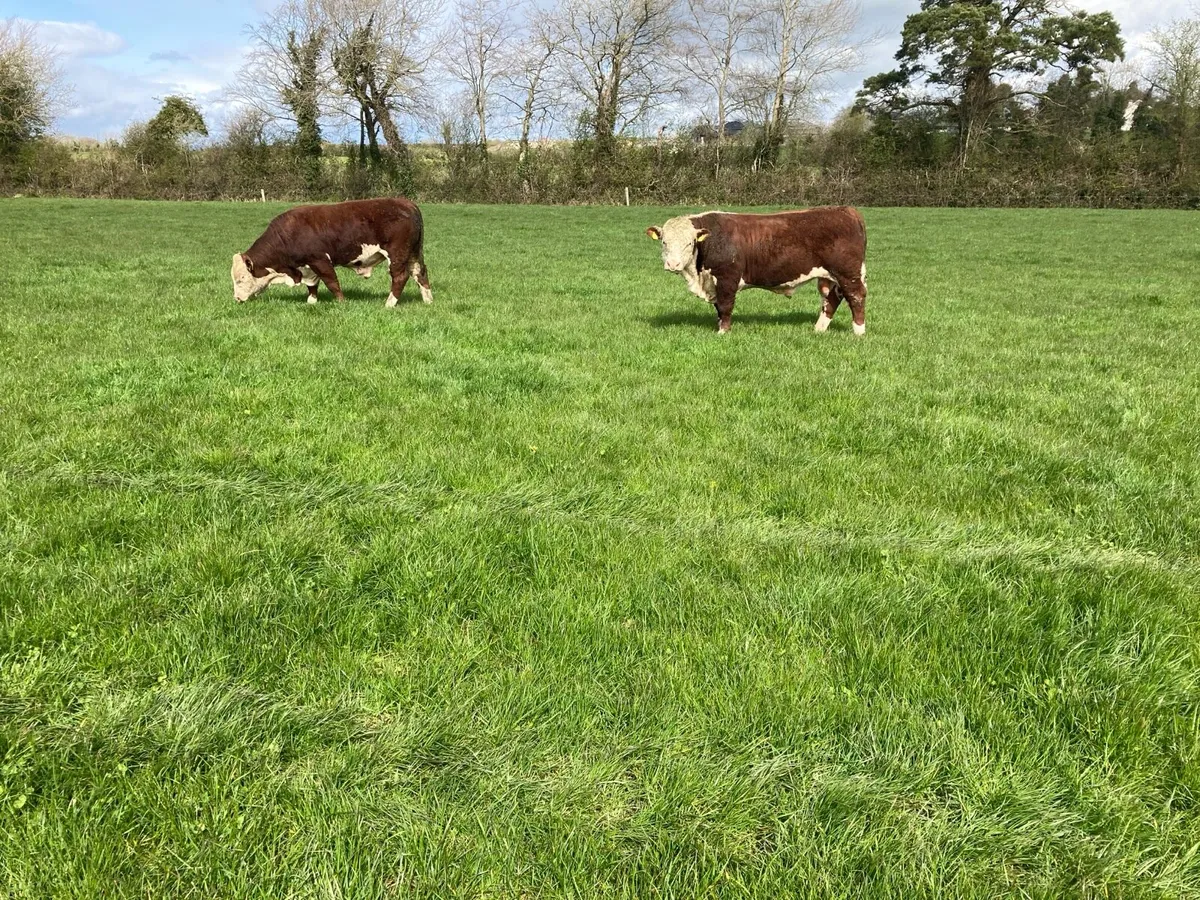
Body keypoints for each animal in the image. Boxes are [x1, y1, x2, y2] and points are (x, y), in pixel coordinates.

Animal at [231, 197, 433, 307]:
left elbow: (332, 282)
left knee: (400, 276)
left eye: (241, 278)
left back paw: (390, 303)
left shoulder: (320, 260)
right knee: (420, 273)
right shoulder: (307, 266)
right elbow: (312, 285)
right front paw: (311, 301)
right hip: (414, 253)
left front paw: (341, 302)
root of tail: (406, 203)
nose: (237, 299)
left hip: (397, 254)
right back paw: (428, 300)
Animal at [646, 206, 868, 335]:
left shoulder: (727, 278)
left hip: (848, 273)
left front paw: (723, 332)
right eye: (664, 242)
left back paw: (859, 331)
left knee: (856, 296)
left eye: (689, 243)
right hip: (832, 276)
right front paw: (720, 326)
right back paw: (819, 329)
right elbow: (718, 308)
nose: (673, 264)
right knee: (832, 298)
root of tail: (845, 209)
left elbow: (725, 306)